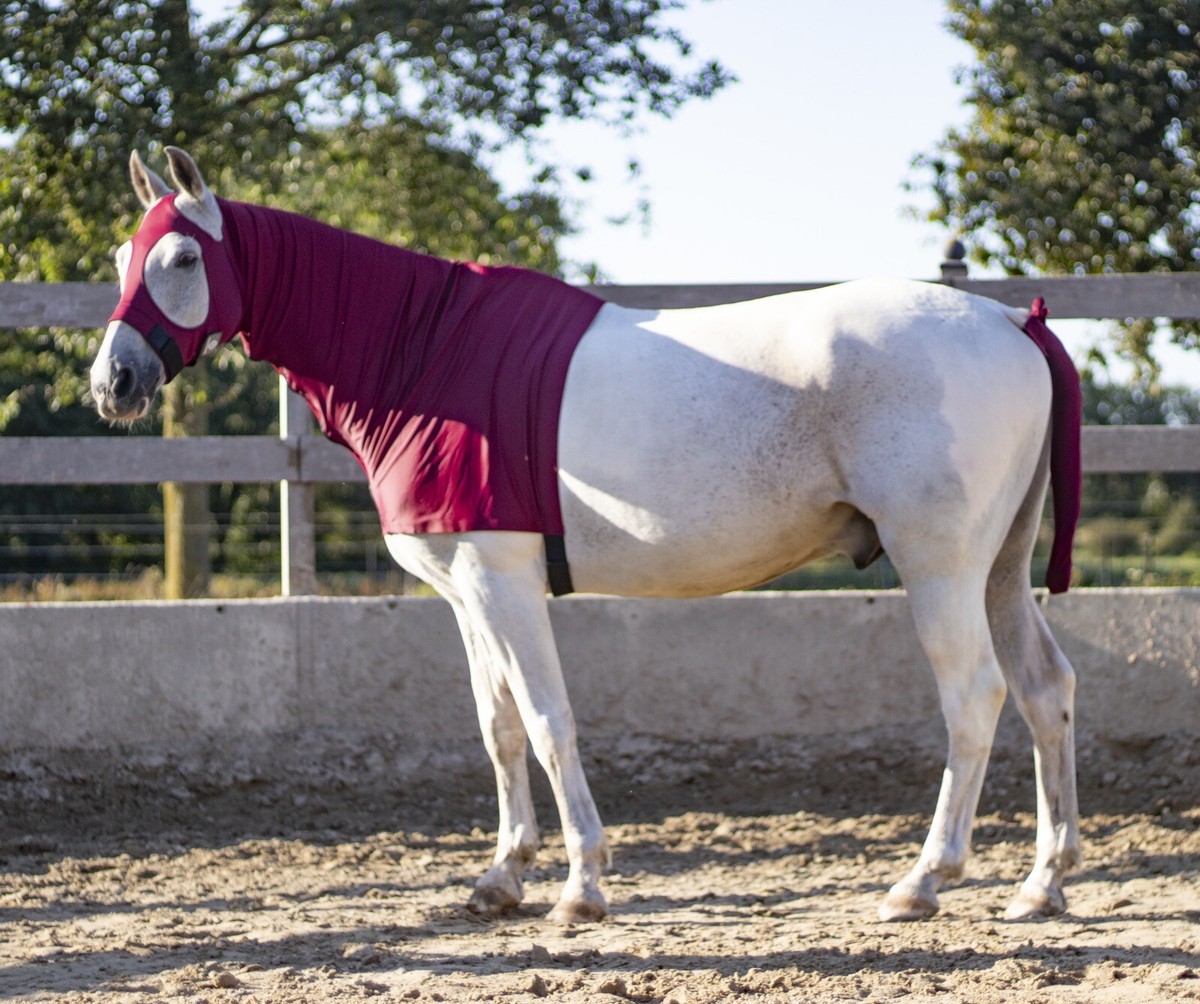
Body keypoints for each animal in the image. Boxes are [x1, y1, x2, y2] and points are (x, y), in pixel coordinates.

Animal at [90, 146, 1082, 925]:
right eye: (121, 255)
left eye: (182, 256)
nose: (114, 382)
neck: (426, 355)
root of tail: (1009, 322)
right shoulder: (467, 594)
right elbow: (497, 727)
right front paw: (500, 877)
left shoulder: (505, 581)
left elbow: (547, 719)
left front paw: (581, 886)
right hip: (999, 568)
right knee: (1045, 687)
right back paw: (1042, 882)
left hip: (940, 568)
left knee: (975, 698)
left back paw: (924, 880)